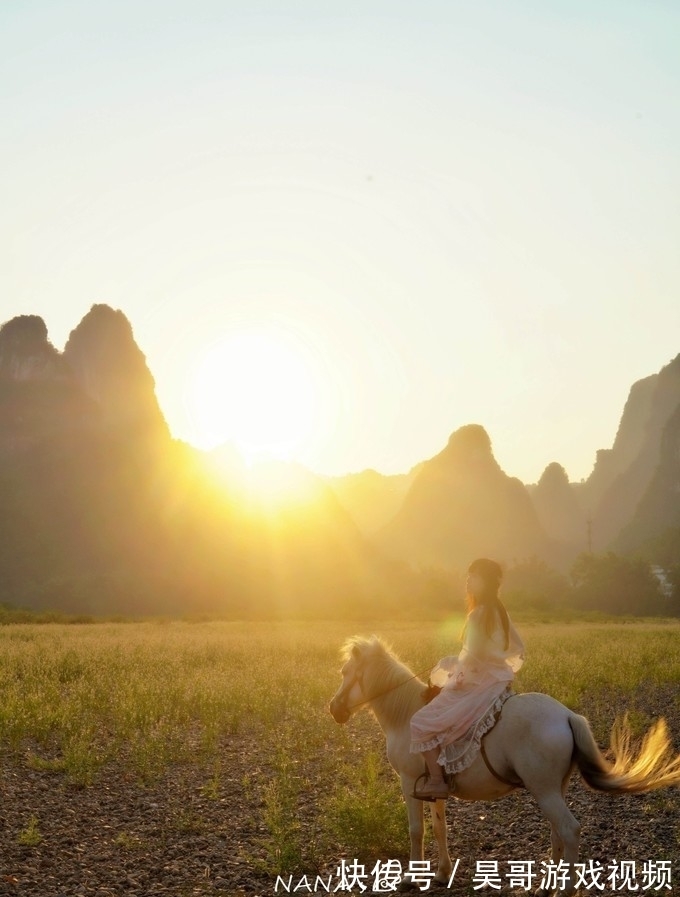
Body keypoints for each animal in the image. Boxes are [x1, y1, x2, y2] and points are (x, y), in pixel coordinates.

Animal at [330, 632, 680, 892]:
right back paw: (546, 886)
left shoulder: (407, 782)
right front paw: (442, 873)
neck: (405, 716)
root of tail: (567, 715)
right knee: (557, 831)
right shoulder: (432, 788)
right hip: (554, 788)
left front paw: (408, 879)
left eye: (346, 673)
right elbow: (440, 828)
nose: (334, 709)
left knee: (569, 829)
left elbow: (417, 830)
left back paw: (564, 889)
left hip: (544, 789)